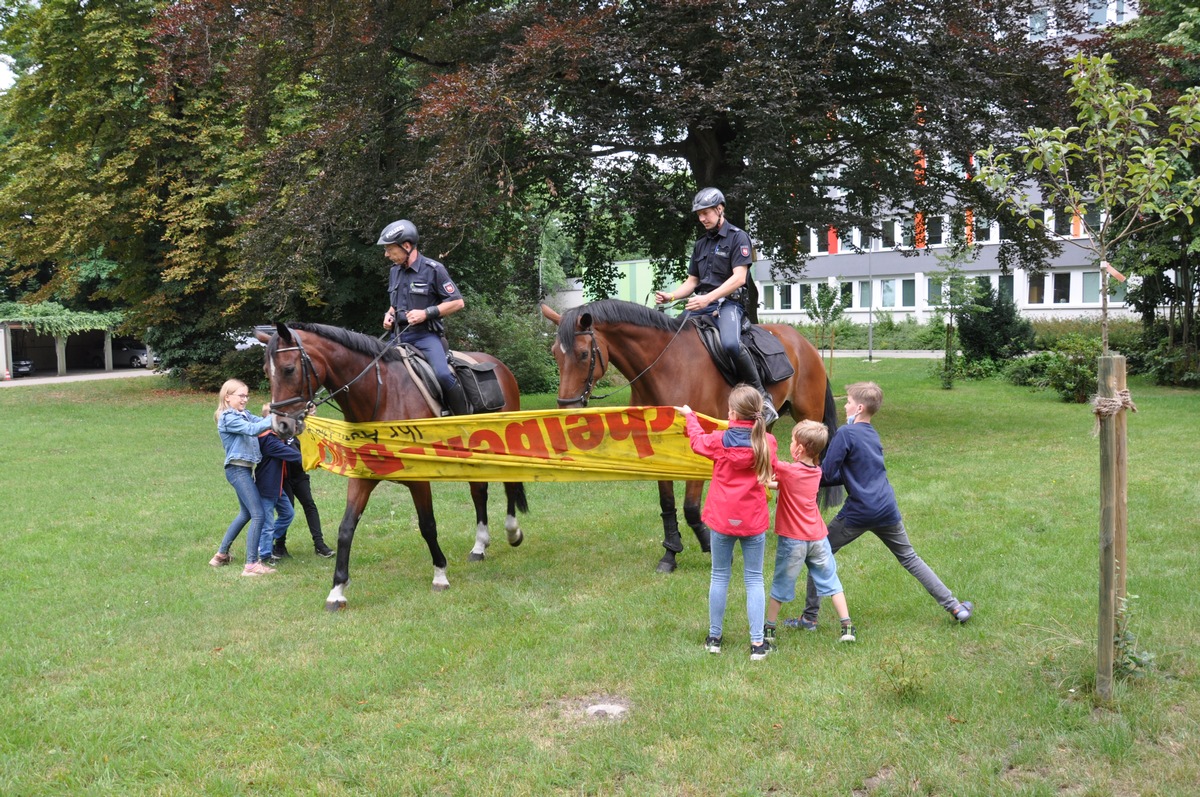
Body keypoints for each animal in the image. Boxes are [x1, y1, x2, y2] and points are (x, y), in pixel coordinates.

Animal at [260, 321, 528, 607]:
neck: (383, 396)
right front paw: (337, 590)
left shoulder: (419, 480)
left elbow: (427, 525)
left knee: (509, 485)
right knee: (479, 492)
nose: (281, 425)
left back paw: (512, 532)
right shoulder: (361, 478)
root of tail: (499, 366)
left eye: (289, 369)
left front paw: (440, 574)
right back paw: (480, 546)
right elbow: (346, 528)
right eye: (267, 371)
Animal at [540, 298, 840, 573]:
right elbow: (667, 502)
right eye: (555, 354)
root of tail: (804, 344)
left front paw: (710, 546)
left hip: (808, 415)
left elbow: (691, 506)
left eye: (582, 354)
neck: (666, 368)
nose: (566, 410)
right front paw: (670, 553)